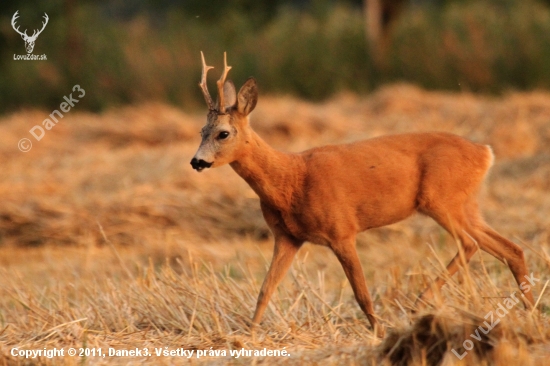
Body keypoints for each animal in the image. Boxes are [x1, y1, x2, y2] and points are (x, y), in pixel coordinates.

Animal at [192, 51, 536, 338]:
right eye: (201, 131)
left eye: (224, 133)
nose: (197, 161)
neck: (291, 179)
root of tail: (485, 152)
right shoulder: (287, 237)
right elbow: (265, 290)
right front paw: (246, 337)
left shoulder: (342, 230)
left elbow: (361, 293)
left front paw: (380, 332)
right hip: (466, 203)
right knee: (510, 249)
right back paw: (530, 312)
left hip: (441, 199)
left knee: (470, 243)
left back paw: (420, 302)